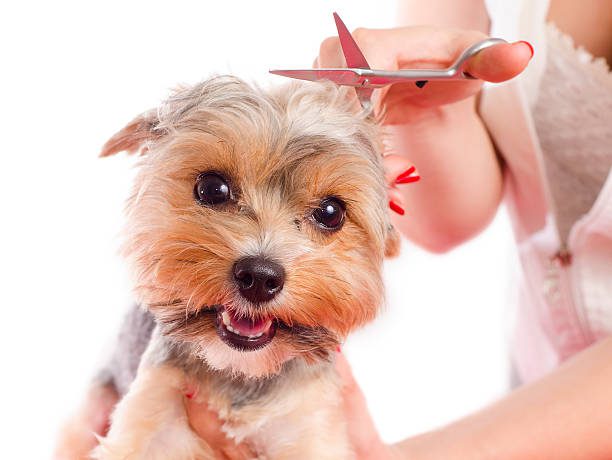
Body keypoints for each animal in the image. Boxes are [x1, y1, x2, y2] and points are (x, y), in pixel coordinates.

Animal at [58, 76, 402, 460]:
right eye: (212, 188)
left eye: (331, 212)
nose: (259, 276)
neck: (239, 373)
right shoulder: (149, 414)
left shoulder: (309, 429)